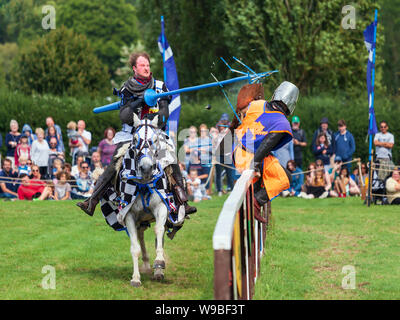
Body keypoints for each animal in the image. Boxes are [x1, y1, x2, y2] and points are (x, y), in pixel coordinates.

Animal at [115, 113, 184, 288]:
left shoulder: (162, 208)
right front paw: (135, 278)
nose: (146, 168)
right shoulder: (129, 215)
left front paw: (159, 262)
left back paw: (158, 271)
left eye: (155, 139)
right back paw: (146, 264)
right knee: (140, 236)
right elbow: (135, 248)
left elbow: (158, 231)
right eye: (134, 139)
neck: (145, 183)